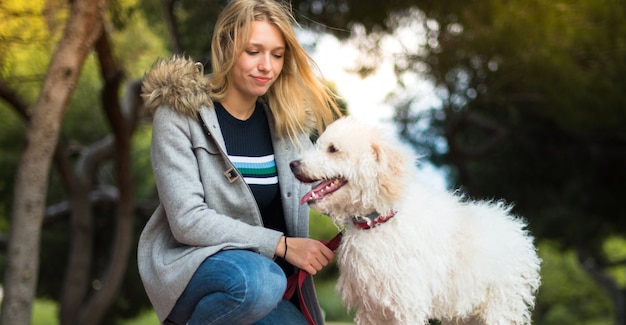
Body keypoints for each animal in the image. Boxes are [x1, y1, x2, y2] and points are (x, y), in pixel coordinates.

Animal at [290, 116, 540, 324]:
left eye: (333, 149)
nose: (293, 164)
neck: (379, 221)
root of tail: (512, 223)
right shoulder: (371, 310)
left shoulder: (406, 305)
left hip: (500, 307)